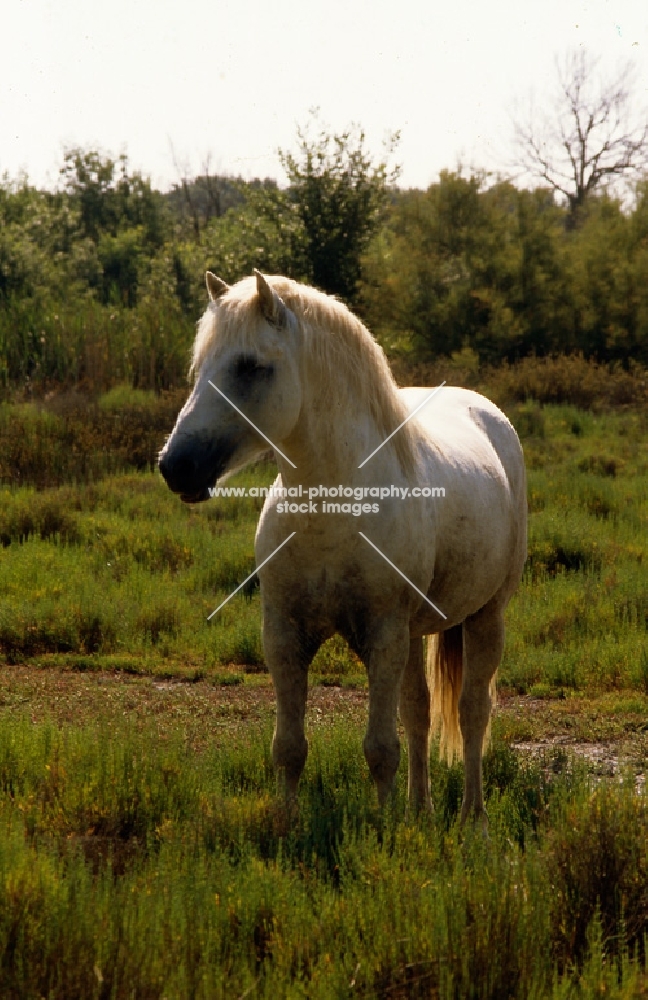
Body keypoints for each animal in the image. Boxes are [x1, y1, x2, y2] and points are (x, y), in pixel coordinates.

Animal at [158, 272, 528, 820]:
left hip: (487, 616)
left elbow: (380, 749)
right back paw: (420, 809)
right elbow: (289, 747)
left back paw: (472, 819)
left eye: (250, 366)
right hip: (416, 633)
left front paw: (384, 829)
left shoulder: (383, 635)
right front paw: (287, 824)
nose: (175, 466)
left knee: (472, 713)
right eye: (199, 367)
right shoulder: (285, 635)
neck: (330, 515)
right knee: (419, 711)